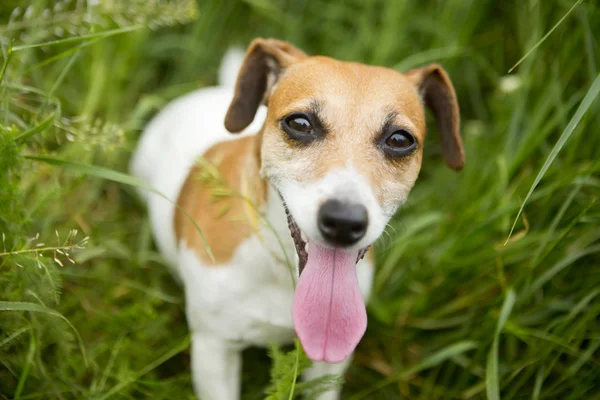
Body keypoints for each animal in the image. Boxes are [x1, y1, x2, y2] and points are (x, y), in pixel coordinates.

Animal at [130, 38, 464, 400]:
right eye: (300, 123)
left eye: (400, 139)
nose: (344, 222)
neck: (284, 270)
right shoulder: (214, 350)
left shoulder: (328, 366)